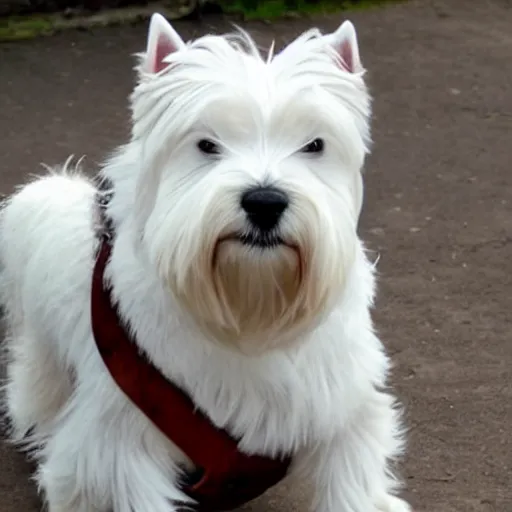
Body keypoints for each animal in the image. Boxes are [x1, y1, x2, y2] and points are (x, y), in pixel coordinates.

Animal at [0, 11, 412, 512]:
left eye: (314, 144)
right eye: (206, 144)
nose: (265, 202)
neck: (247, 305)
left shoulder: (343, 414)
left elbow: (352, 487)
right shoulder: (117, 447)